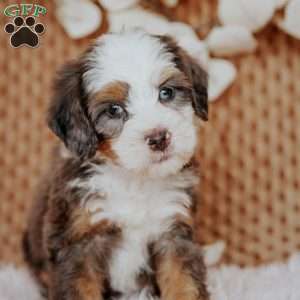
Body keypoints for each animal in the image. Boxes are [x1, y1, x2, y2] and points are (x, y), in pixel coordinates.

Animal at [23, 30, 210, 300]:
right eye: (113, 110)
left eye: (166, 93)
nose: (159, 138)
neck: (133, 179)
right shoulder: (78, 241)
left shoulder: (173, 231)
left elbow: (184, 282)